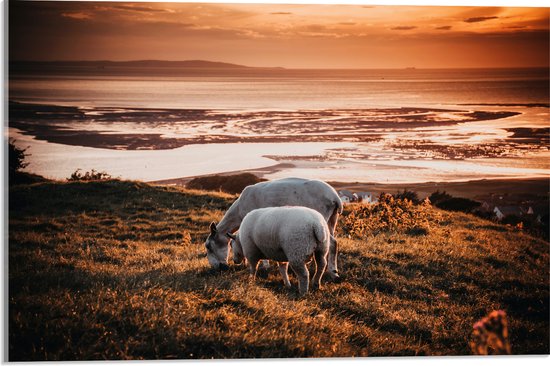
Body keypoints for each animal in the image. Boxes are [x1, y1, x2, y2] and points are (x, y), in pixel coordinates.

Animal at [205, 177, 342, 280]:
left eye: (209, 247)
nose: (217, 268)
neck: (238, 213)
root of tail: (335, 198)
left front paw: (264, 266)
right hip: (331, 220)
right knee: (334, 242)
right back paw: (332, 270)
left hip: (322, 219)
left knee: (331, 243)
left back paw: (333, 272)